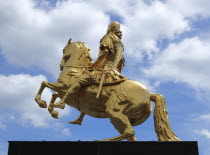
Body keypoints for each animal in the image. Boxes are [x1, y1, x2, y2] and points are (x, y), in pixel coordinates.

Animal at [34, 38, 180, 142]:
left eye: (64, 50)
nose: (61, 66)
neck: (75, 69)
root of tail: (149, 94)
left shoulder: (64, 88)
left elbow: (44, 84)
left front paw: (45, 104)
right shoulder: (62, 91)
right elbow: (53, 94)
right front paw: (52, 110)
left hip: (114, 112)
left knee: (130, 132)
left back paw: (99, 140)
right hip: (121, 118)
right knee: (130, 136)